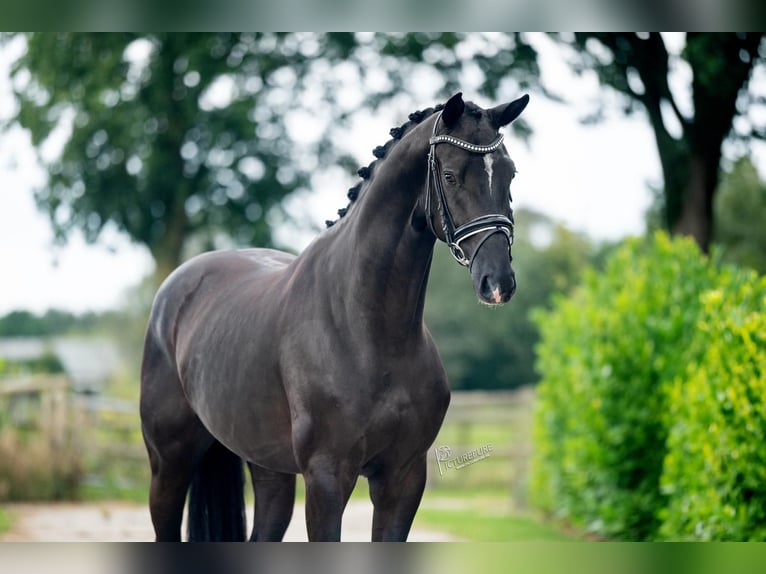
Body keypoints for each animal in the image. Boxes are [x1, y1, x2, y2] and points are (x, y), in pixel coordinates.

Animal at [141, 92, 532, 544]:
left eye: (510, 174)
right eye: (450, 176)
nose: (498, 282)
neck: (369, 332)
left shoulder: (403, 477)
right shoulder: (326, 477)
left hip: (268, 468)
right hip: (168, 464)